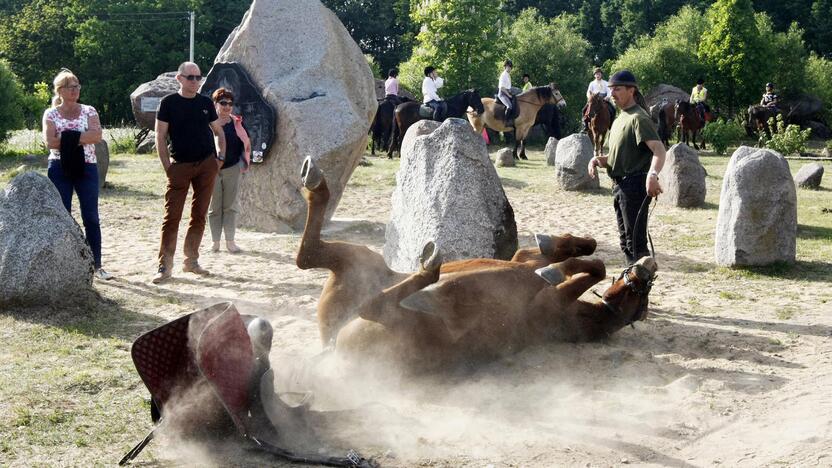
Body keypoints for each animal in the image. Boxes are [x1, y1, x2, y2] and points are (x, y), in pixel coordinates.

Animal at [296, 157, 660, 372]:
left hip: (405, 317)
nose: (648, 266)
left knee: (370, 302)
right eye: (643, 291)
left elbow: (586, 269)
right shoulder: (522, 262)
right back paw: (314, 180)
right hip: (361, 262)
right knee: (309, 255)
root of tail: (330, 350)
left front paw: (556, 269)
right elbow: (582, 255)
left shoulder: (542, 293)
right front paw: (560, 250)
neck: (572, 317)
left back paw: (430, 268)